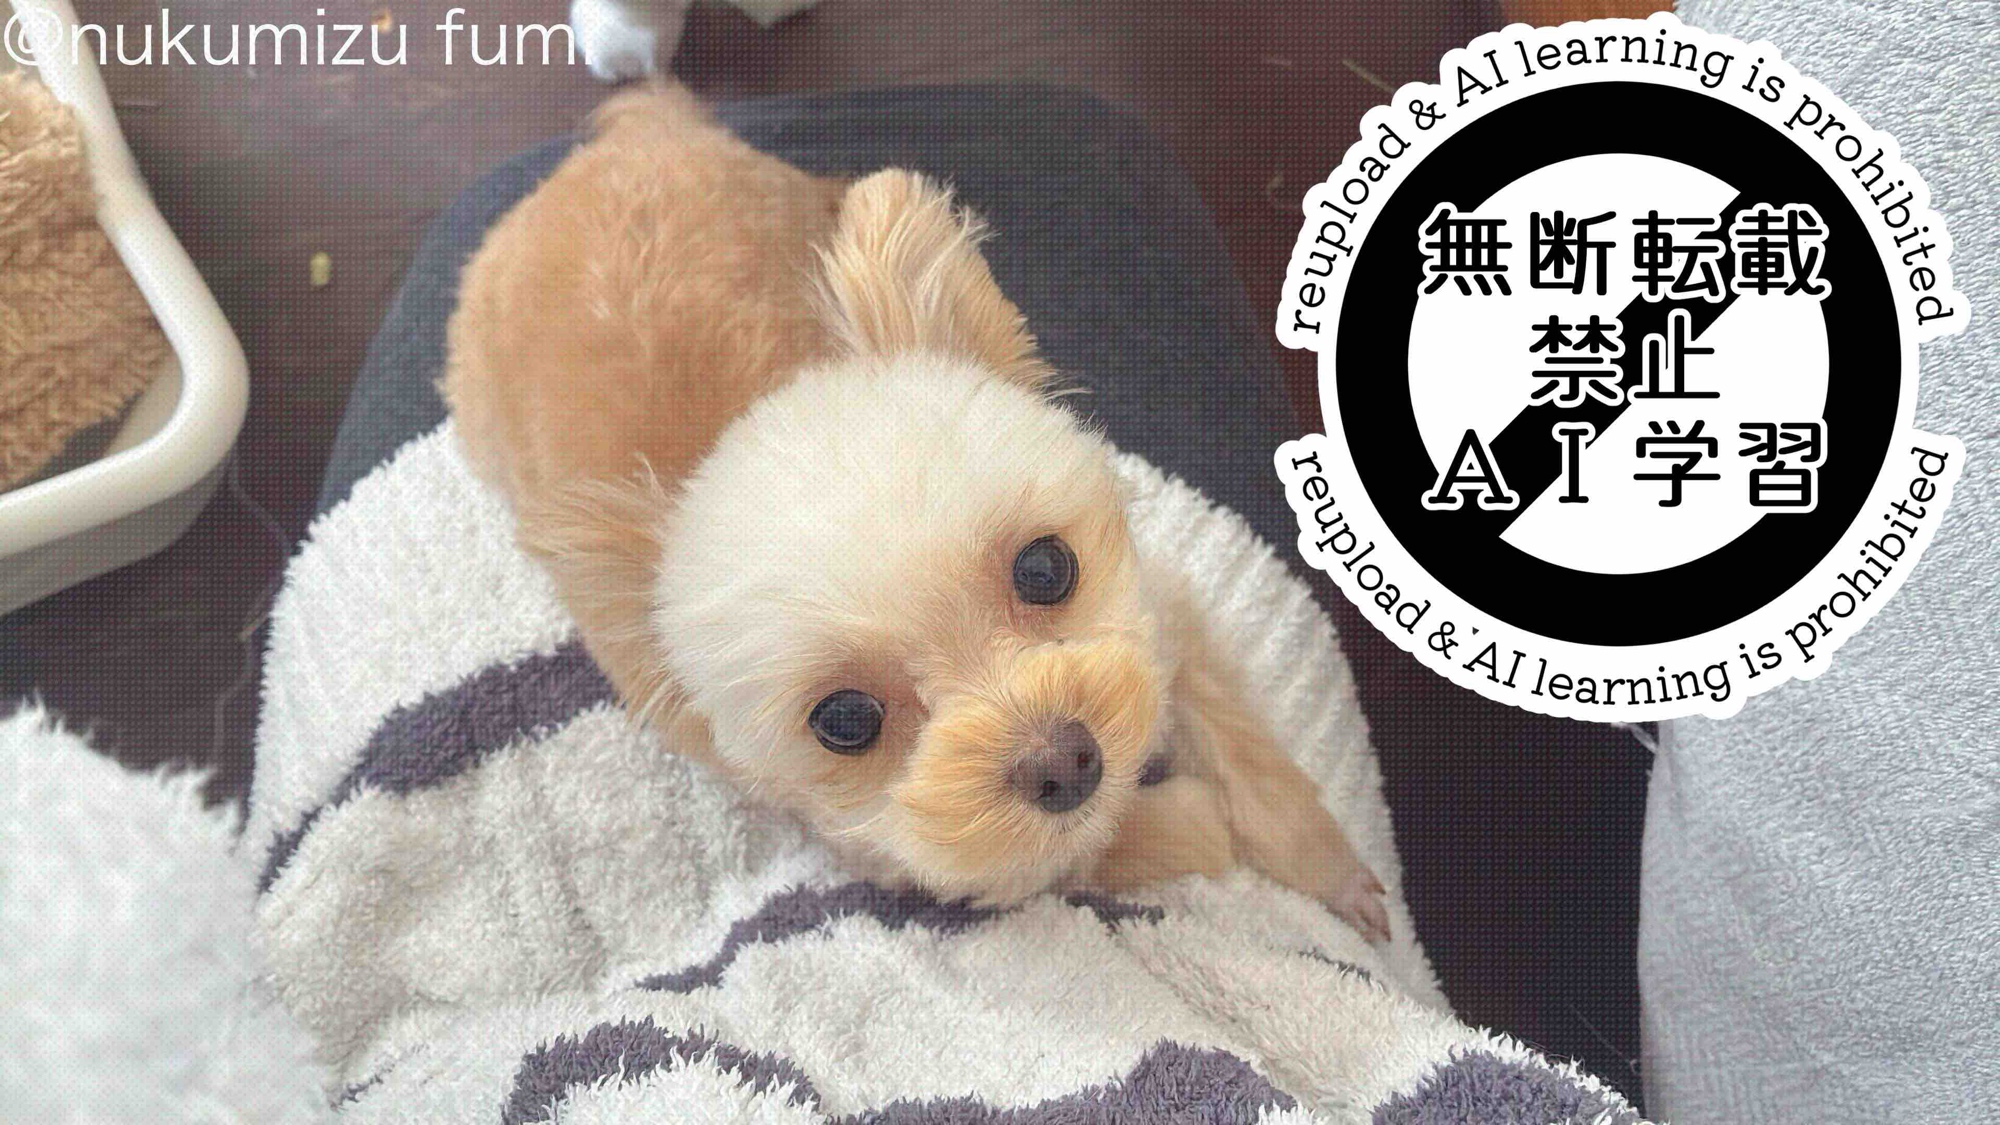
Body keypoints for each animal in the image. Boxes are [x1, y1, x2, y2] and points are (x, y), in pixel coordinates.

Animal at [443, 86, 1390, 941]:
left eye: (1045, 567)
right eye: (846, 721)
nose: (1064, 762)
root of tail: (611, 146)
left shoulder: (1154, 611)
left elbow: (1242, 746)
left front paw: (1327, 865)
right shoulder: (911, 853)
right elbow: (1072, 852)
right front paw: (1189, 822)